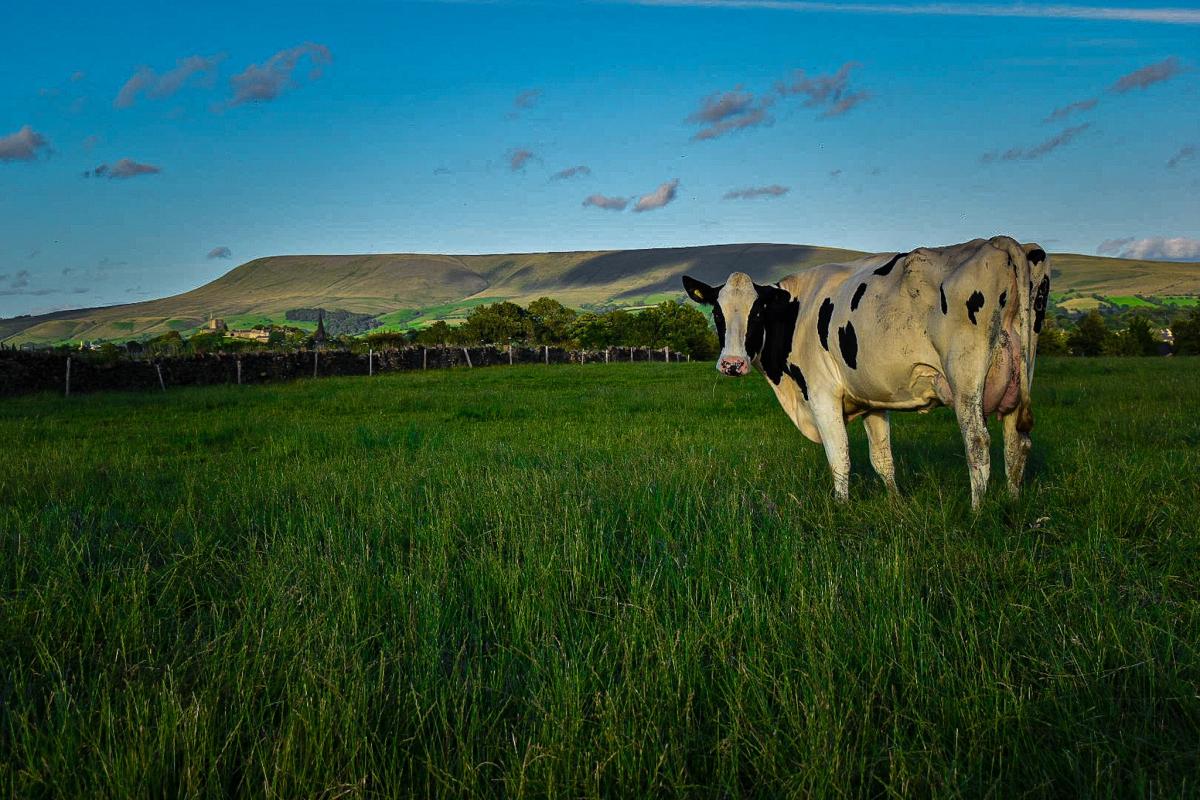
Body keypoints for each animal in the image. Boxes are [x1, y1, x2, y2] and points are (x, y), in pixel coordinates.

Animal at [686, 235, 1051, 510]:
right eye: (717, 313)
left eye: (758, 312)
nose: (732, 364)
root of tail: (995, 242)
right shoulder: (873, 402)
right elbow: (882, 459)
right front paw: (895, 504)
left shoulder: (821, 394)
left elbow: (839, 457)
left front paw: (841, 507)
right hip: (1020, 372)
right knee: (1016, 443)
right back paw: (1013, 502)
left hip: (965, 379)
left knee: (978, 443)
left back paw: (977, 511)